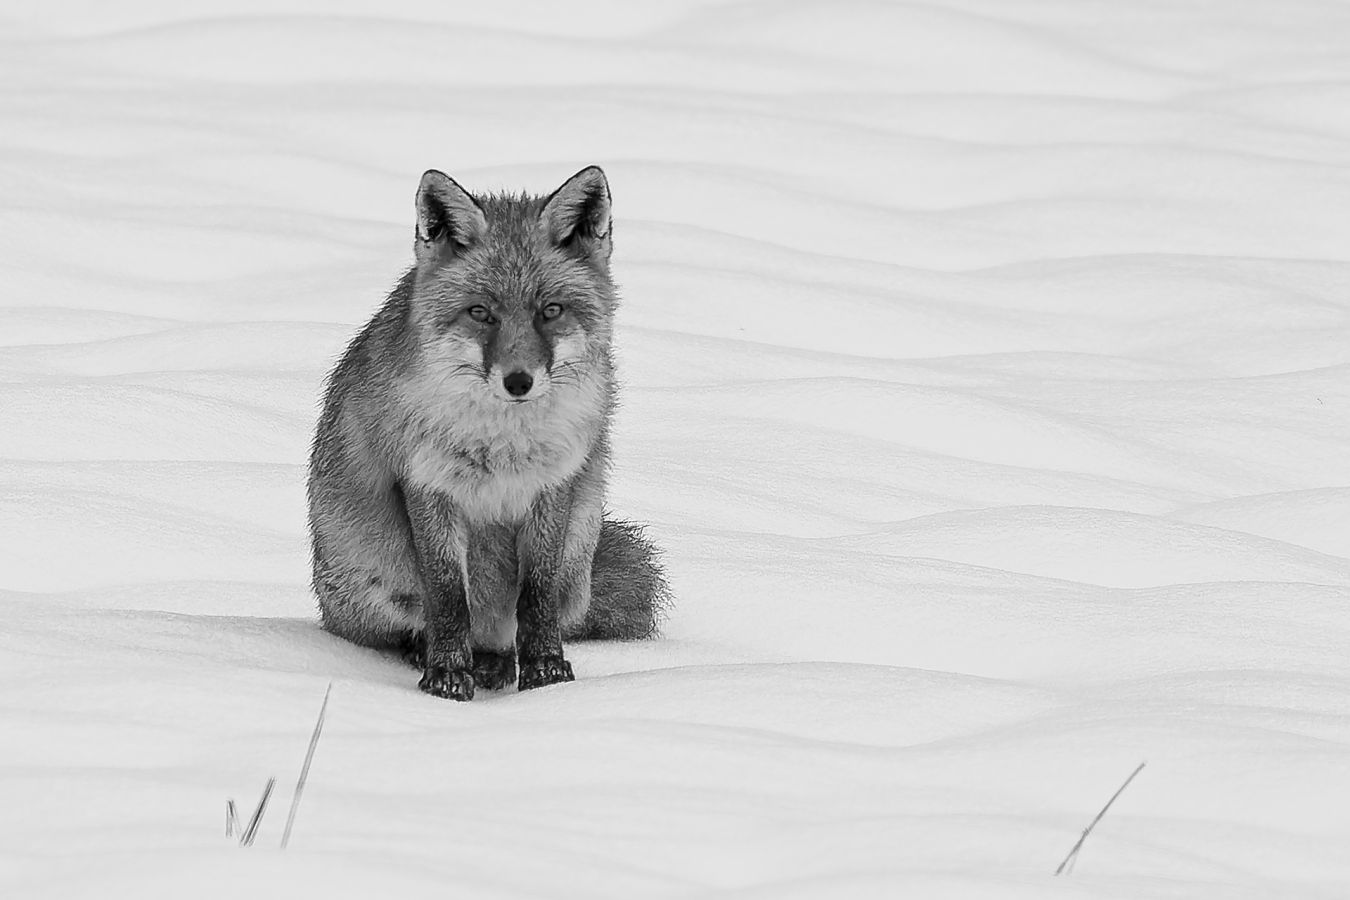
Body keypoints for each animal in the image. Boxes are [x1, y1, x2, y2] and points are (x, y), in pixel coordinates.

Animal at [307, 165, 669, 701]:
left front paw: (546, 671)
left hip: (581, 544)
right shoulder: (427, 485)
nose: (518, 381)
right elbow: (447, 597)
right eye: (481, 312)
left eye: (550, 310)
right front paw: (446, 674)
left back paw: (499, 662)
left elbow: (536, 596)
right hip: (370, 571)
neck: (503, 446)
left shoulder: (553, 486)